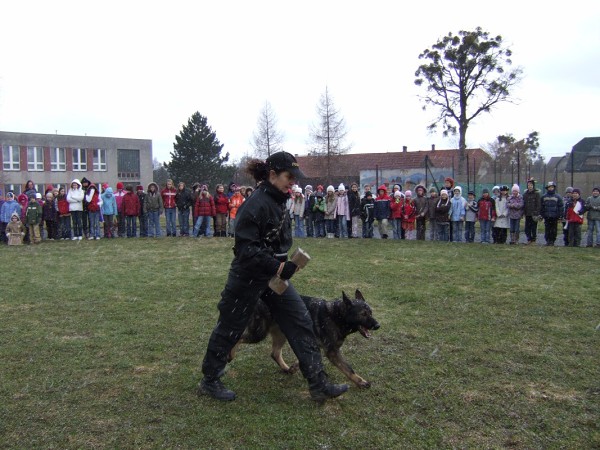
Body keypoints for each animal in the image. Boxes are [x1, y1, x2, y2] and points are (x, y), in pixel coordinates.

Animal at [230, 290, 380, 388]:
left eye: (370, 312)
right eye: (363, 314)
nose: (378, 325)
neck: (337, 316)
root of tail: (259, 299)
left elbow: (303, 359)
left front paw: (295, 367)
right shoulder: (332, 352)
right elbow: (348, 368)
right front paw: (361, 382)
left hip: (280, 335)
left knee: (275, 353)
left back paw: (286, 368)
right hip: (258, 333)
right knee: (238, 338)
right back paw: (230, 354)